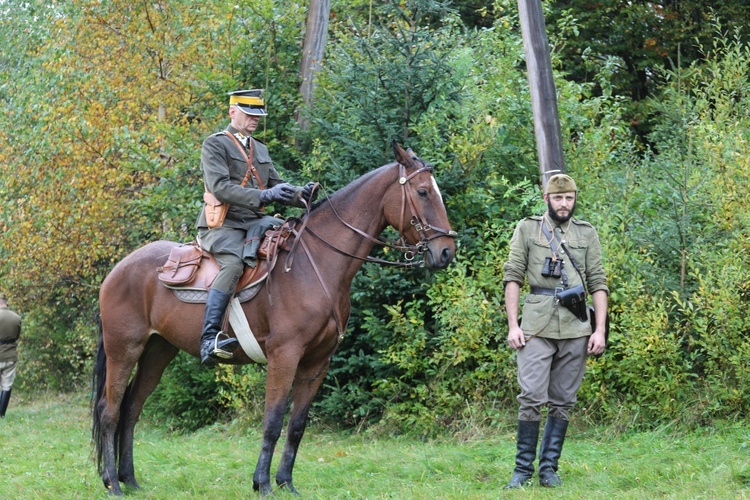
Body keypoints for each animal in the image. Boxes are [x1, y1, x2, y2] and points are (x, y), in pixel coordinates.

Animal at [94, 142, 458, 496]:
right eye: (423, 191)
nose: (446, 252)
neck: (318, 264)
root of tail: (119, 269)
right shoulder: (285, 355)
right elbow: (272, 420)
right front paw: (263, 483)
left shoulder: (317, 362)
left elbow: (296, 425)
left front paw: (286, 482)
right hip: (124, 350)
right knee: (109, 411)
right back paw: (113, 484)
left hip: (158, 351)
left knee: (131, 409)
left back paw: (130, 479)